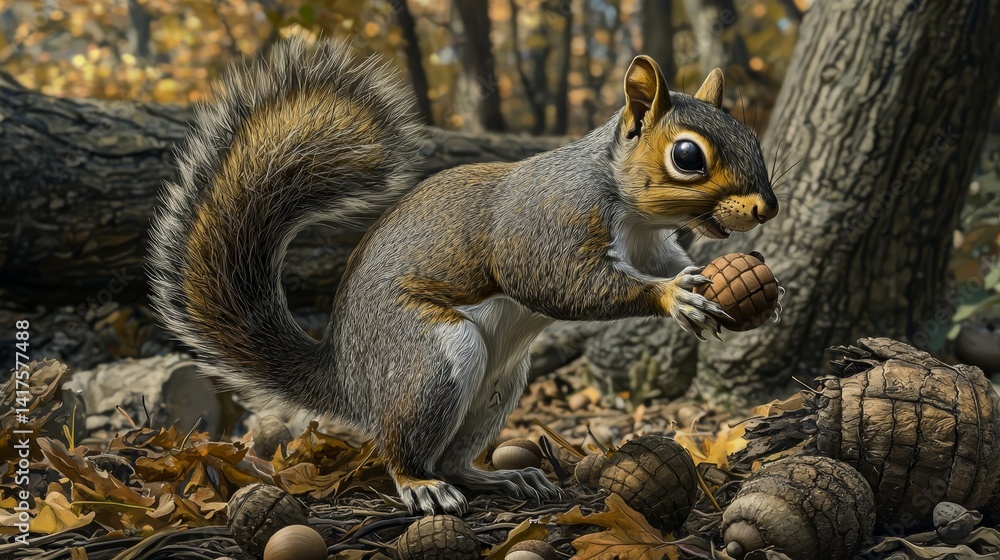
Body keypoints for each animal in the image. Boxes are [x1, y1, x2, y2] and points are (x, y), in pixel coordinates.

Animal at [149, 36, 777, 516]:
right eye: (688, 157)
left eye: (751, 137)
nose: (766, 209)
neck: (634, 212)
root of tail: (347, 377)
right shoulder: (546, 222)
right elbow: (559, 281)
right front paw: (675, 299)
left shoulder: (651, 245)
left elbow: (671, 263)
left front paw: (744, 292)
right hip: (432, 359)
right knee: (402, 449)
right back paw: (420, 485)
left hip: (502, 382)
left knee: (454, 457)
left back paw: (498, 477)